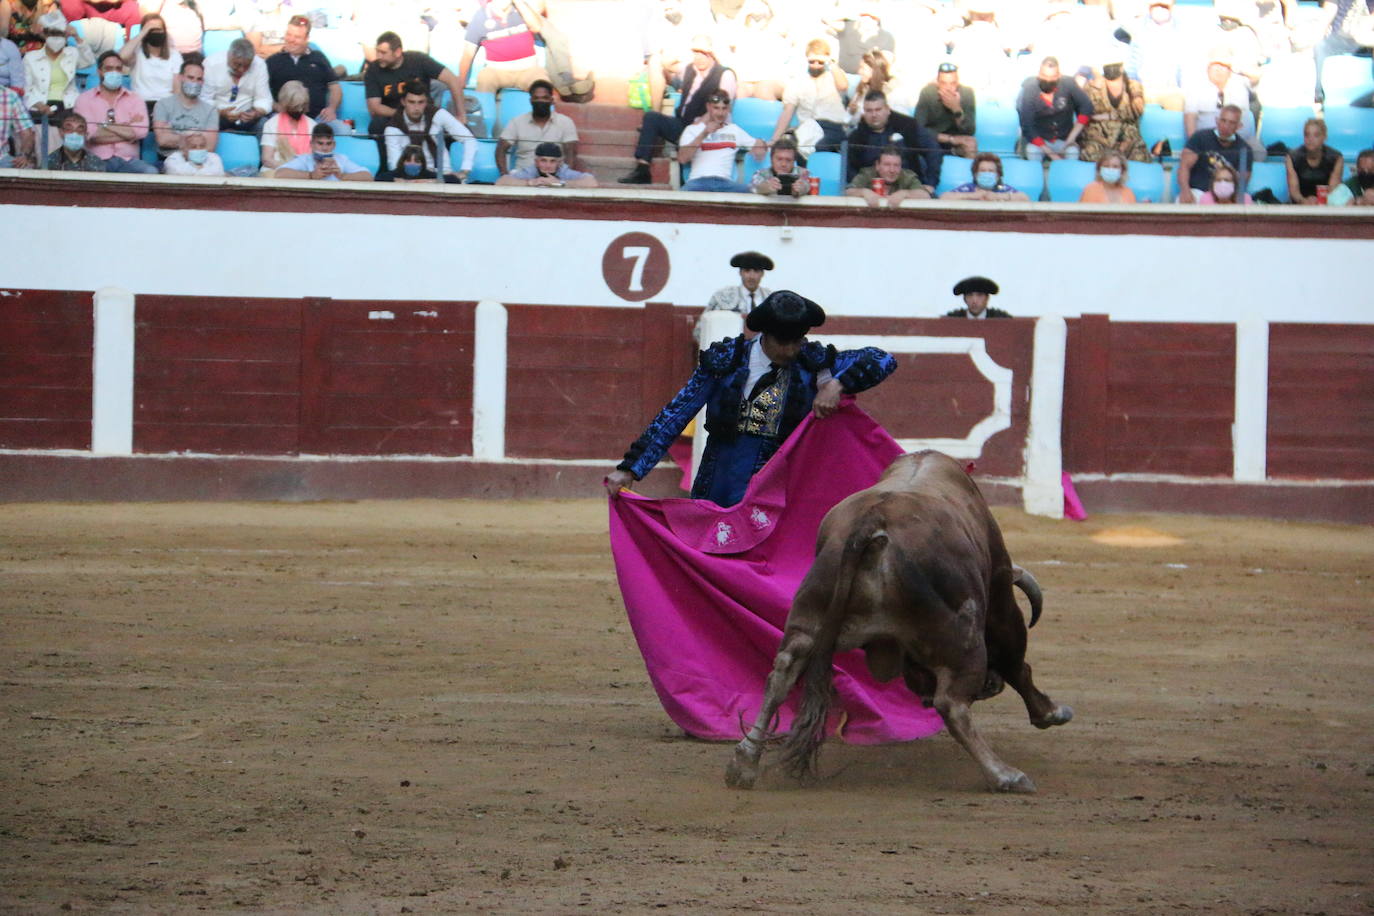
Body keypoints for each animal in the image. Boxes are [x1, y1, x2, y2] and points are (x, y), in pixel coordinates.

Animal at [725, 447, 1066, 791]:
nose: (990, 686)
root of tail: (871, 524)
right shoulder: (999, 590)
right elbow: (1017, 663)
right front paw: (1050, 712)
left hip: (808, 615)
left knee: (782, 673)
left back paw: (744, 764)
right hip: (964, 636)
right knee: (953, 704)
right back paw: (1005, 775)